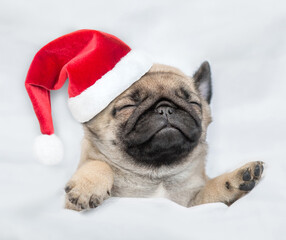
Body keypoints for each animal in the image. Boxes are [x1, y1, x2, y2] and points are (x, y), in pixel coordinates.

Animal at [64, 61, 264, 210]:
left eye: (193, 104)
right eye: (128, 107)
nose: (165, 109)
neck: (157, 174)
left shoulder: (193, 203)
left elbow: (212, 190)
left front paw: (235, 179)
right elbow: (98, 163)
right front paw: (88, 185)